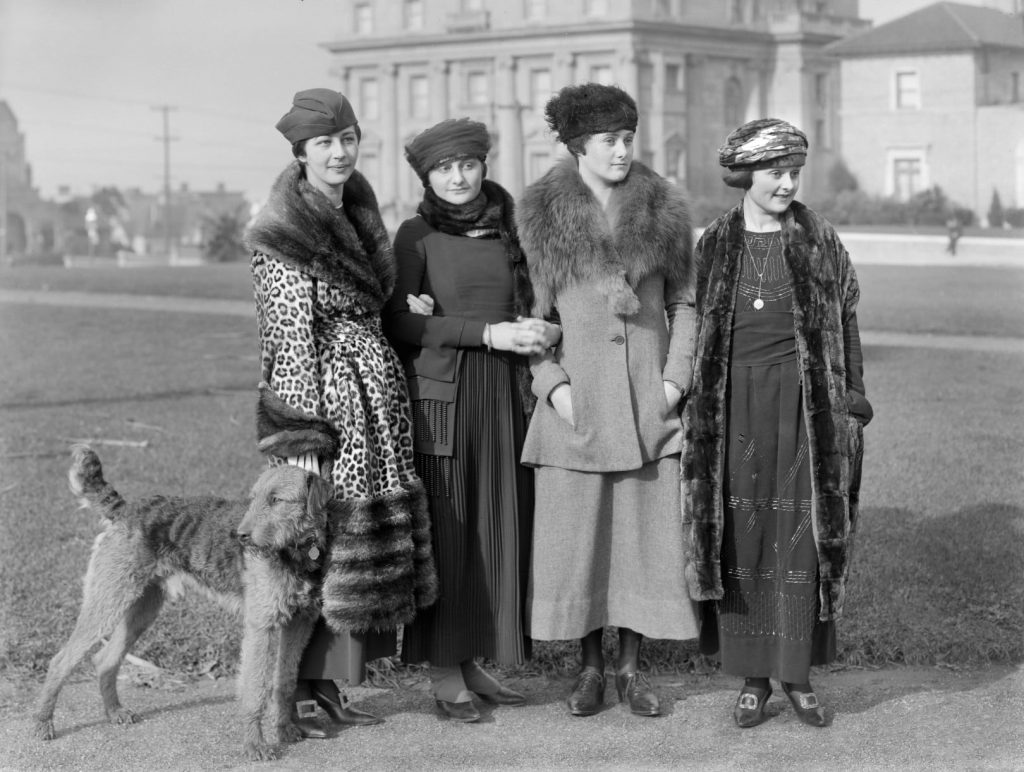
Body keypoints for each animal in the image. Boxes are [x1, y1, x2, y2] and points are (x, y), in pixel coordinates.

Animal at [33, 444, 331, 757]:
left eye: (277, 500)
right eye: (254, 498)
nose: (241, 536)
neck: (298, 552)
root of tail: (125, 509)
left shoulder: (299, 623)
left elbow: (284, 681)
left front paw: (285, 730)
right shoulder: (261, 626)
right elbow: (255, 689)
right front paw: (255, 746)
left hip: (142, 608)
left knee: (104, 659)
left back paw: (114, 712)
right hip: (108, 601)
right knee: (61, 660)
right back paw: (43, 723)